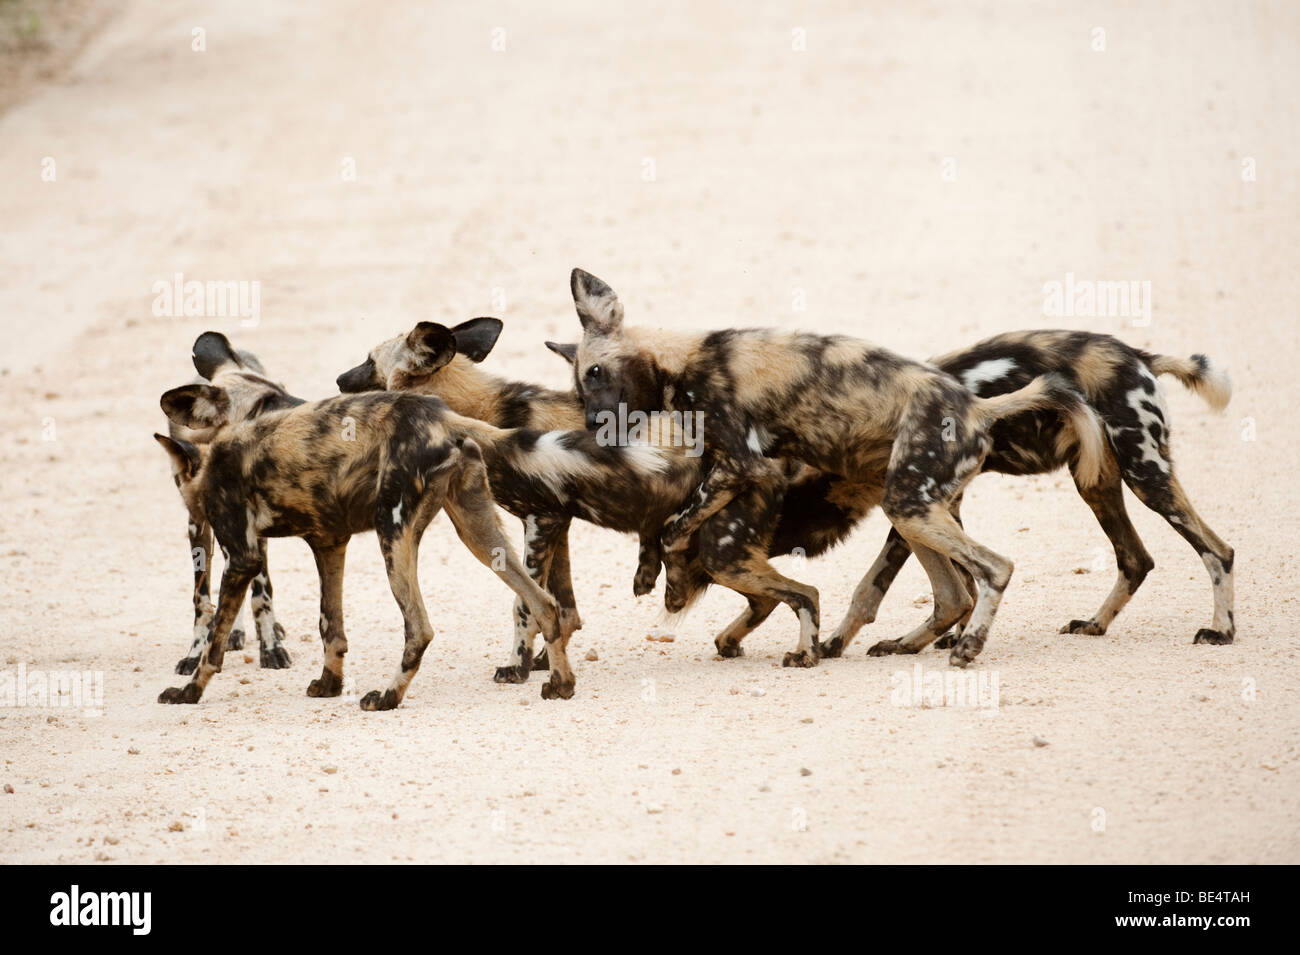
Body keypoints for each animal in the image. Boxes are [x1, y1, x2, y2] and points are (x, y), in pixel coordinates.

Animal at [169, 332, 296, 675]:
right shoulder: (197, 523)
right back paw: (231, 631)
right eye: (265, 405)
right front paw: (195, 653)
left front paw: (271, 649)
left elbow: (261, 595)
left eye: (283, 389)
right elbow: (202, 599)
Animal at [564, 267, 1102, 670]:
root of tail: (979, 408)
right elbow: (665, 527)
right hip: (913, 510)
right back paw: (896, 645)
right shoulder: (726, 467)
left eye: (596, 373)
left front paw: (673, 585)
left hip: (910, 504)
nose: (592, 424)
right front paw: (651, 574)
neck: (680, 362)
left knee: (995, 568)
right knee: (952, 594)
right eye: (577, 389)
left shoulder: (741, 462)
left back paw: (967, 647)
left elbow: (676, 528)